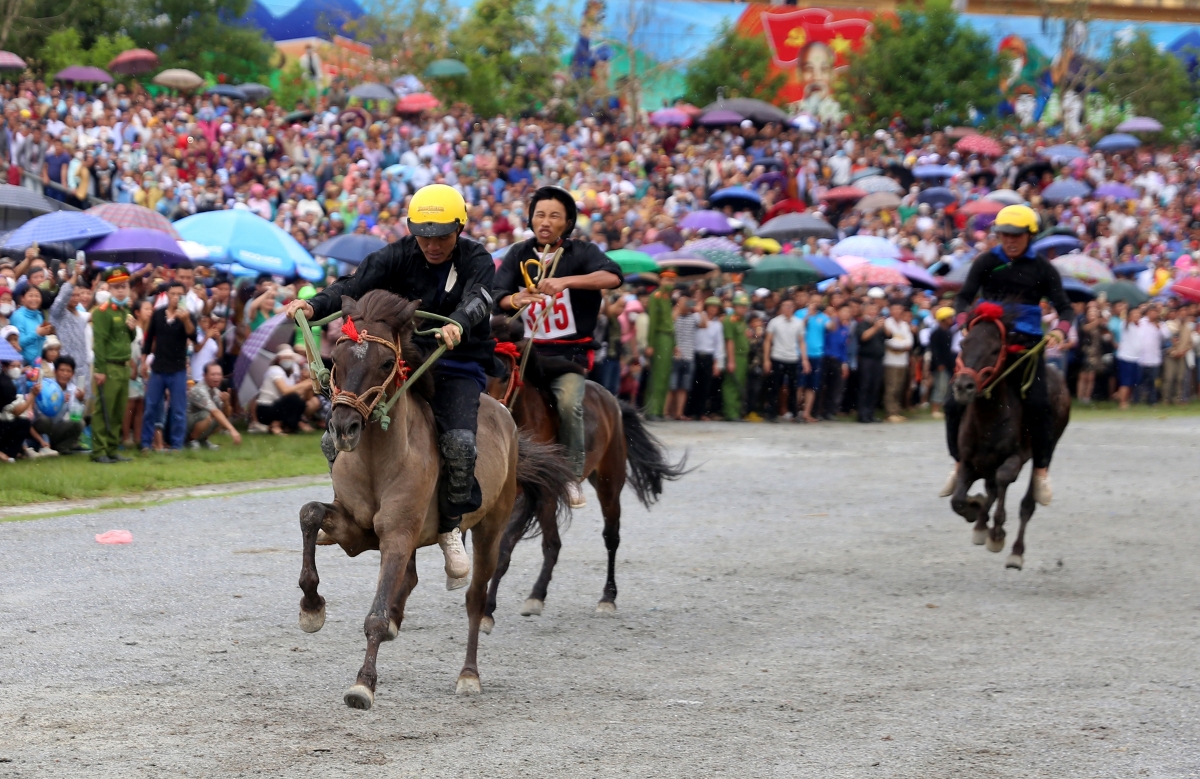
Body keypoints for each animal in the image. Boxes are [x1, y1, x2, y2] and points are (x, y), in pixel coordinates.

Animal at [292, 290, 568, 705]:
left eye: (386, 362)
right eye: (335, 359)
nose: (344, 427)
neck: (377, 460)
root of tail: (505, 414)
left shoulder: (397, 535)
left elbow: (375, 613)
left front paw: (363, 684)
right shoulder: (354, 530)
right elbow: (309, 513)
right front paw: (311, 607)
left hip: (492, 525)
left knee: (476, 597)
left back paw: (469, 674)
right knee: (412, 576)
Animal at [477, 316, 686, 633]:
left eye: (504, 373)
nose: (487, 412)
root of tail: (612, 399)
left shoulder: (532, 493)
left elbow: (504, 547)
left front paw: (487, 612)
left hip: (609, 482)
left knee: (610, 537)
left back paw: (607, 598)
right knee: (553, 543)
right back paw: (537, 596)